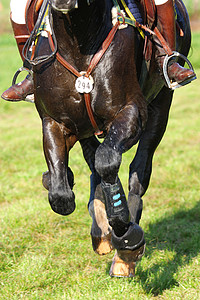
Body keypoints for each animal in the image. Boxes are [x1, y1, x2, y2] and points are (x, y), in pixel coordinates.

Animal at [29, 0, 194, 276]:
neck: (79, 42)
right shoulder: (55, 122)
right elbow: (61, 194)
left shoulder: (131, 111)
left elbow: (107, 161)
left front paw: (125, 235)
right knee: (93, 161)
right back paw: (100, 225)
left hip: (161, 104)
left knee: (137, 170)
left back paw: (123, 254)